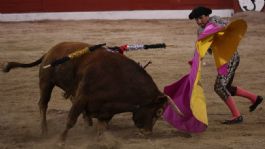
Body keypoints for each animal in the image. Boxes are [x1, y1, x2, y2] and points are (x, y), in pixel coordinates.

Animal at [2, 42, 179, 142]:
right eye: (158, 112)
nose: (148, 133)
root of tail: (50, 51)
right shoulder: (82, 98)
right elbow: (70, 120)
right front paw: (60, 141)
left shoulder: (106, 109)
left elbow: (101, 129)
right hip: (46, 83)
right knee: (43, 104)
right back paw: (44, 131)